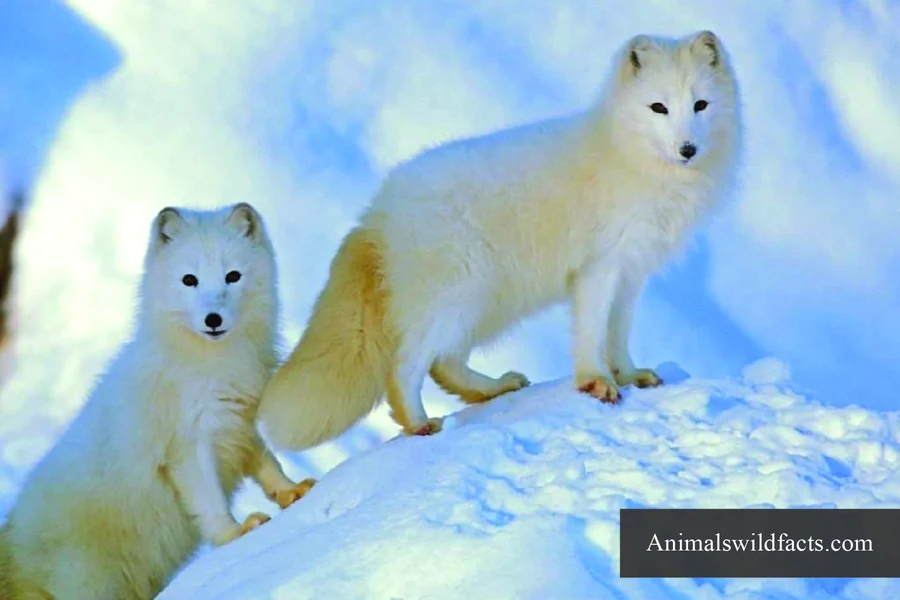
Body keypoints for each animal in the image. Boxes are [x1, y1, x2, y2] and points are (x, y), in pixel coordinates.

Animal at [0, 204, 315, 600]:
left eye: (233, 276)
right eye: (189, 280)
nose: (213, 319)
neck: (212, 364)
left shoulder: (240, 419)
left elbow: (267, 464)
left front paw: (292, 491)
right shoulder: (186, 445)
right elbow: (209, 501)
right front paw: (237, 533)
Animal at [258, 30, 741, 447]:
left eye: (700, 105)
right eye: (658, 107)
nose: (687, 149)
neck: (630, 157)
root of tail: (377, 211)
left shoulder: (631, 273)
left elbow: (617, 335)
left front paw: (630, 375)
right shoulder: (598, 269)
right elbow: (591, 333)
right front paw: (596, 383)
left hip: (483, 304)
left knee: (445, 364)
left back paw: (493, 390)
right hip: (456, 297)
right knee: (407, 365)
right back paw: (418, 423)